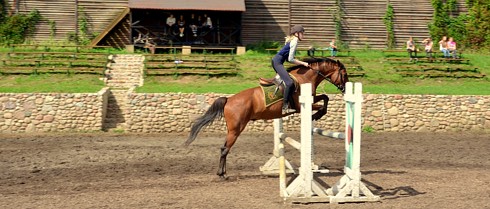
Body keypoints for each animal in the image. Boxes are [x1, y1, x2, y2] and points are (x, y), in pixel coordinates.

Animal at [184, 58, 348, 179]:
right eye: (344, 74)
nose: (345, 89)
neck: (305, 77)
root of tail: (229, 100)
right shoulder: (301, 106)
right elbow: (324, 101)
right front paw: (317, 115)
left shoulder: (311, 99)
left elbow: (325, 97)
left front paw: (317, 114)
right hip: (236, 129)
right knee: (225, 149)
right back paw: (222, 175)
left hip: (232, 129)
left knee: (224, 148)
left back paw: (223, 172)